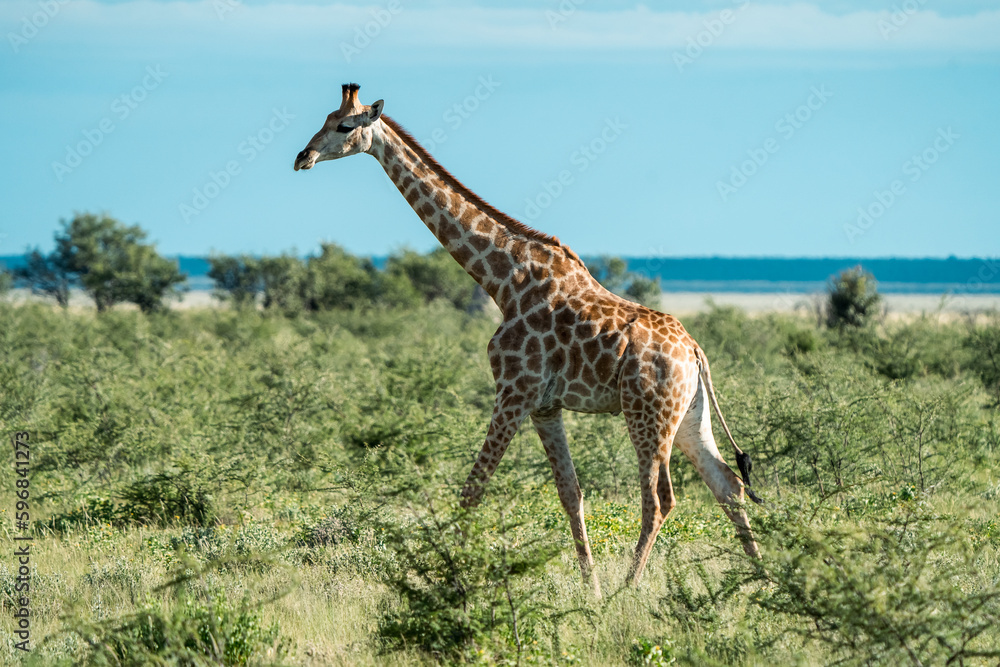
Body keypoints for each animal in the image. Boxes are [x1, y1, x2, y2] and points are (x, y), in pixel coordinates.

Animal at [294, 84, 762, 593]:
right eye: (323, 118)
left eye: (344, 126)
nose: (303, 157)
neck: (502, 281)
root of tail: (695, 351)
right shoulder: (545, 405)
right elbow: (570, 493)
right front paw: (589, 589)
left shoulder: (513, 391)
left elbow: (473, 487)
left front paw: (454, 581)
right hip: (689, 415)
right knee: (728, 484)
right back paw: (765, 580)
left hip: (647, 413)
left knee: (660, 498)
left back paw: (629, 588)